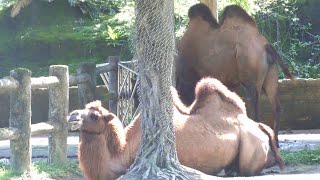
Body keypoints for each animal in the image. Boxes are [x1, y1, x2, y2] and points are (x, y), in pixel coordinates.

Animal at [69, 77, 284, 180]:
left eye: (94, 115)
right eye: (86, 108)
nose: (72, 115)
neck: (122, 150)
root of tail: (259, 125)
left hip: (251, 145)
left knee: (249, 169)